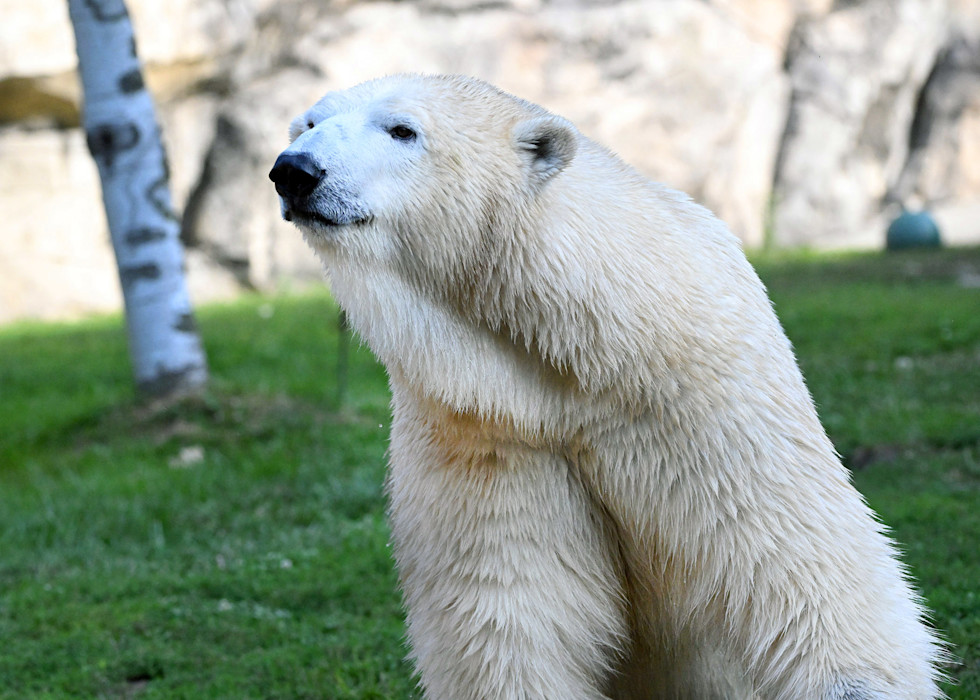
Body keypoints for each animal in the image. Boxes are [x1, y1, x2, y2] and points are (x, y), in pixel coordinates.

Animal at [269, 74, 947, 699]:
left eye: (402, 129)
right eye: (307, 123)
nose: (294, 171)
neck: (579, 353)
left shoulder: (701, 402)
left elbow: (796, 562)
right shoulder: (487, 430)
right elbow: (508, 611)